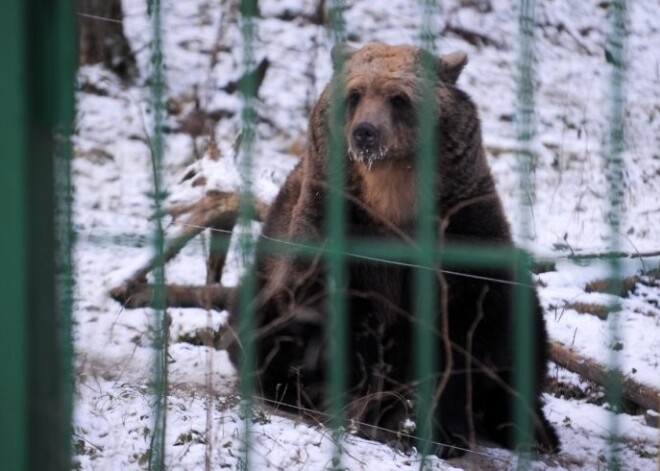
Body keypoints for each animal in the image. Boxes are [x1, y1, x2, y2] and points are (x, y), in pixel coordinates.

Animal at [224, 42, 560, 460]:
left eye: (398, 98)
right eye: (355, 95)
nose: (365, 132)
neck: (391, 197)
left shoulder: (462, 228)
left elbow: (469, 326)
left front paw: (440, 429)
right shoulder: (337, 230)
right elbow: (337, 320)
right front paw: (369, 408)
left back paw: (532, 430)